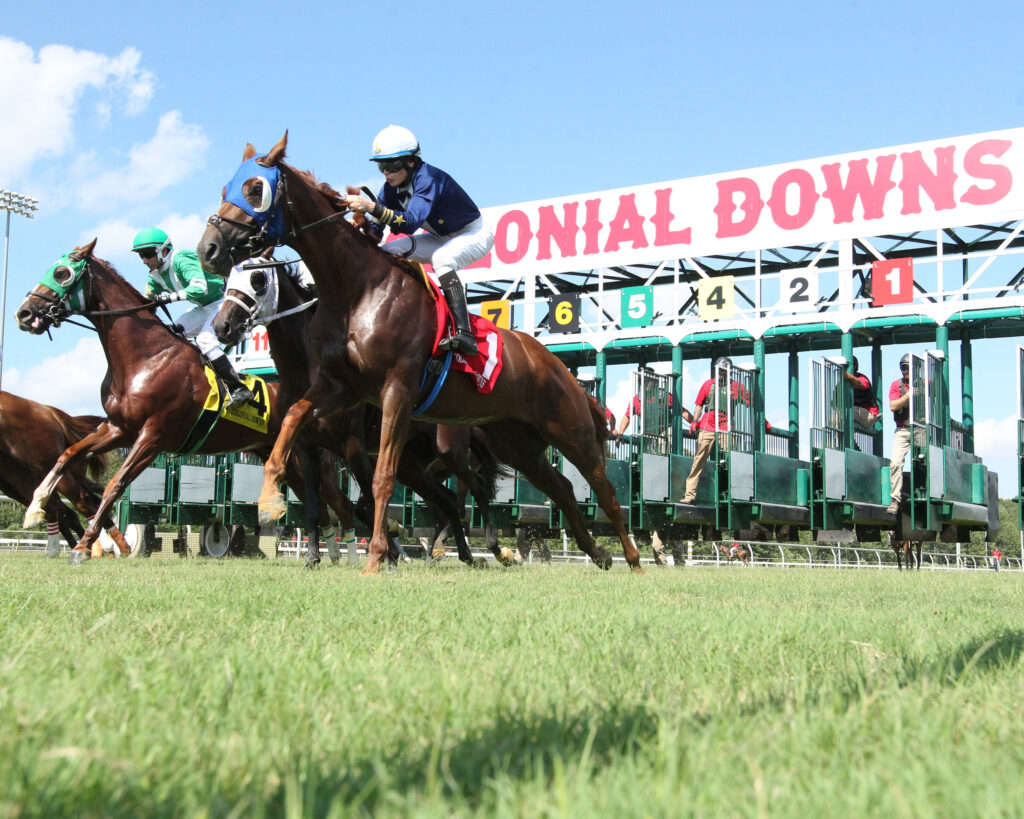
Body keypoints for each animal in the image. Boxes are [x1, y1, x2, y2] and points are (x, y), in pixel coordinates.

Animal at [0, 391, 129, 558]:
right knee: (56, 507)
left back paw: (101, 546)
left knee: (81, 503)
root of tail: (48, 411)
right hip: (18, 478)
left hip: (47, 467)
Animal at [14, 240, 355, 564]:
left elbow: (115, 485)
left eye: (62, 273)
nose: (24, 313)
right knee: (321, 504)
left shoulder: (153, 436)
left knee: (341, 503)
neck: (146, 356)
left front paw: (83, 546)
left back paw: (348, 555)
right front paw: (35, 507)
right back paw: (332, 554)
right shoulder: (118, 429)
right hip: (283, 458)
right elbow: (67, 455)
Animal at [211, 255, 513, 565]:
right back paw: (459, 554)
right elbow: (316, 506)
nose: (222, 325)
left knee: (475, 488)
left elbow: (370, 497)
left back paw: (495, 549)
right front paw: (313, 558)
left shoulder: (352, 446)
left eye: (257, 279)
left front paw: (386, 554)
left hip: (449, 451)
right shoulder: (308, 449)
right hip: (413, 466)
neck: (307, 370)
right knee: (448, 500)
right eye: (227, 280)